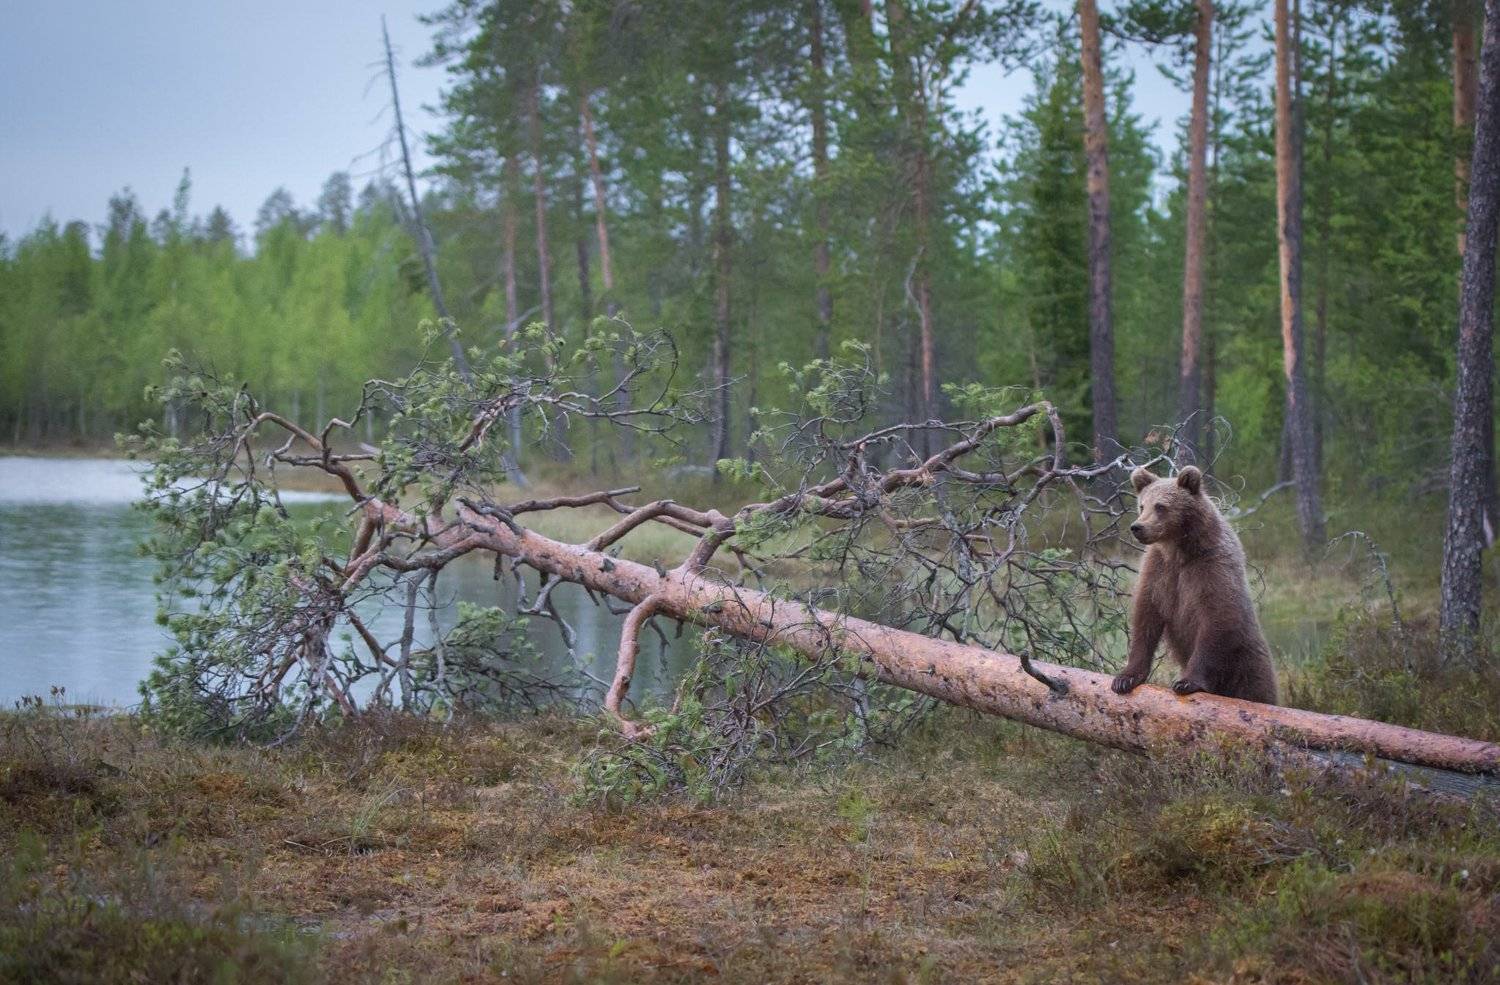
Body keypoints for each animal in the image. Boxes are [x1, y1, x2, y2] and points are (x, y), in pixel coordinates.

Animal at [1110, 465, 1279, 705]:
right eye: (1141, 505)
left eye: (1160, 506)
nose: (1137, 527)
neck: (1178, 550)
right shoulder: (1158, 570)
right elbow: (1146, 616)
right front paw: (1125, 678)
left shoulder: (1211, 566)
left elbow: (1216, 618)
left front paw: (1186, 682)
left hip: (1247, 665)